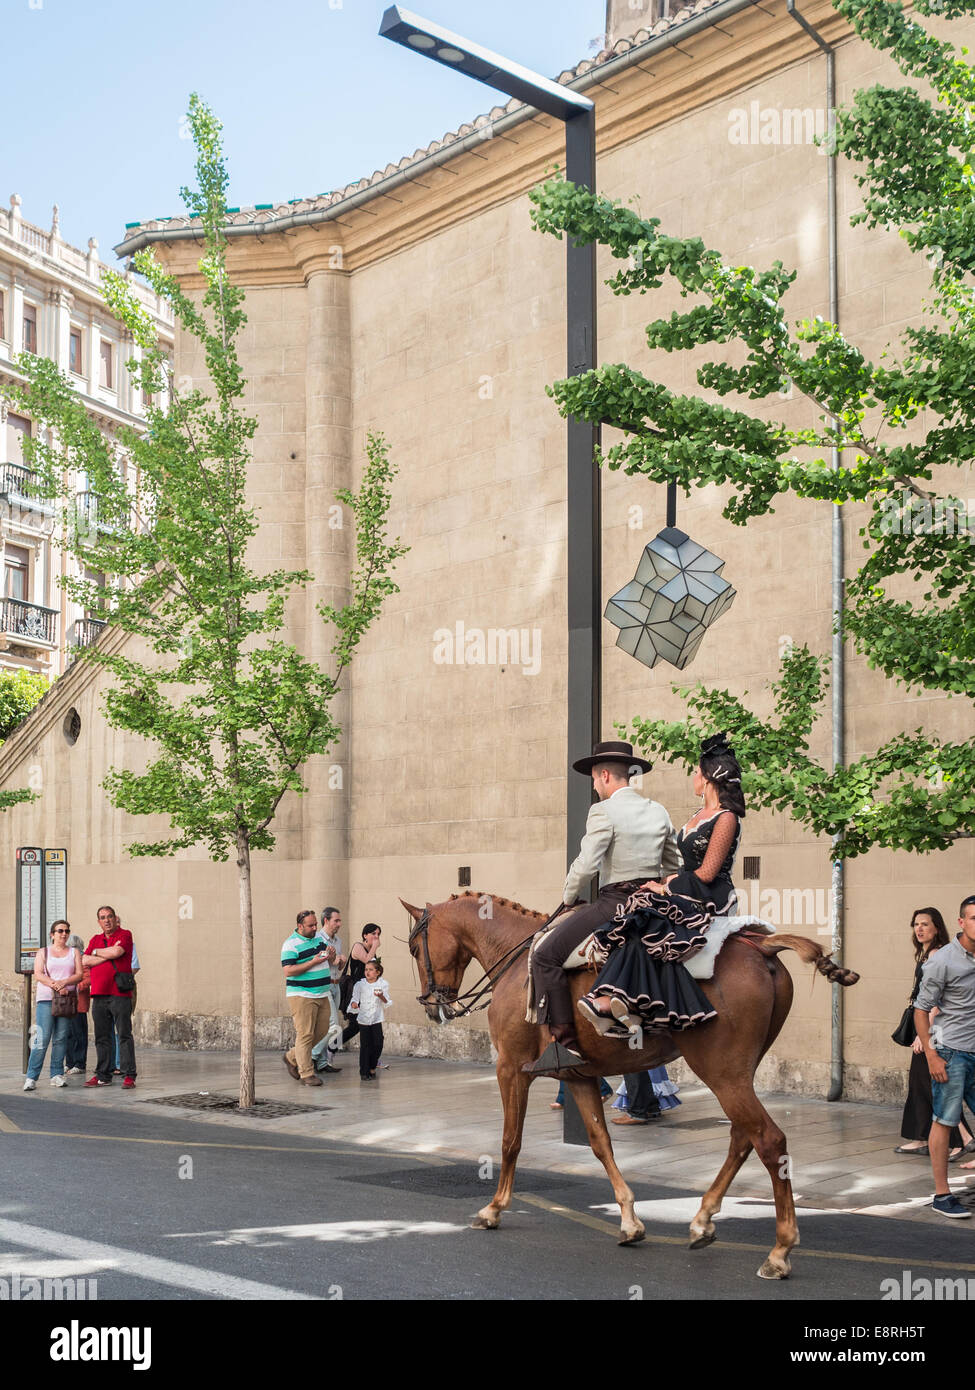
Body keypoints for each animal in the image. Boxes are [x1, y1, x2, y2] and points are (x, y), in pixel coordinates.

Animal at [400, 889, 856, 1278]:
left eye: (413, 948)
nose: (432, 1006)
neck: (517, 962)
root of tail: (759, 945)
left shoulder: (511, 1069)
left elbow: (510, 1141)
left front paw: (494, 1209)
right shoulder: (579, 1077)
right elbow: (600, 1144)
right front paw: (630, 1221)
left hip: (722, 1071)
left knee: (769, 1141)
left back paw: (779, 1251)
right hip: (739, 1072)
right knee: (743, 1138)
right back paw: (703, 1221)